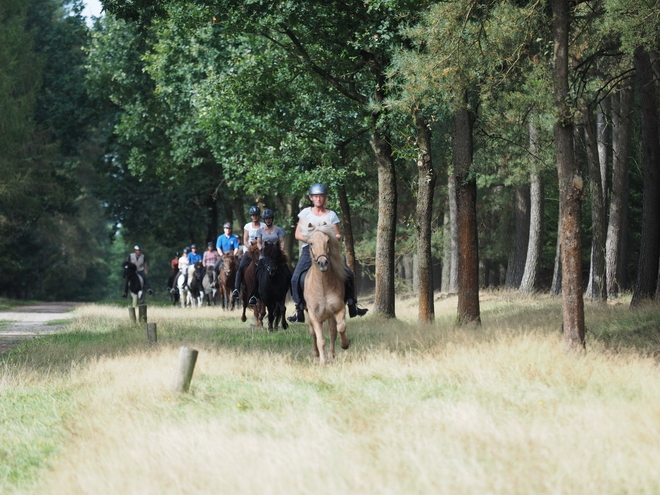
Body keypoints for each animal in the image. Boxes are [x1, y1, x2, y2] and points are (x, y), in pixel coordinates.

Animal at [302, 225, 348, 364]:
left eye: (327, 241)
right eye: (311, 243)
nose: (323, 263)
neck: (322, 286)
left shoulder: (338, 309)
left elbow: (341, 328)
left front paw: (345, 344)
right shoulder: (314, 316)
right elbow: (320, 340)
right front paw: (322, 363)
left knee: (333, 333)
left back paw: (331, 356)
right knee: (313, 334)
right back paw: (316, 357)